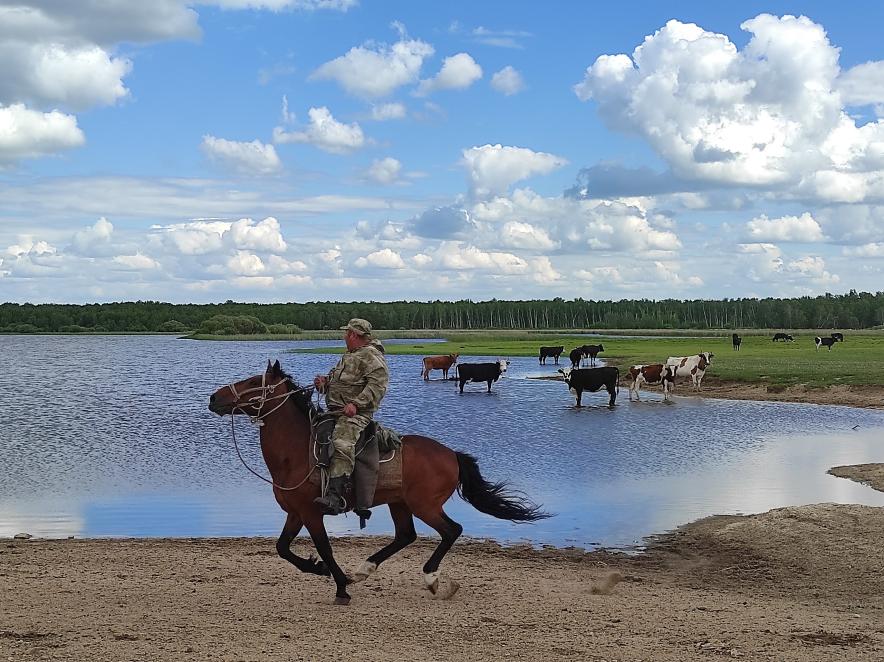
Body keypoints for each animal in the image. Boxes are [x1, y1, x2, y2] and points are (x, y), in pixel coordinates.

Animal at [210, 364, 548, 608]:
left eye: (253, 382)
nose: (214, 397)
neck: (297, 451)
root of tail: (451, 454)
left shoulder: (311, 513)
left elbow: (325, 548)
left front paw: (341, 586)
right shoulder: (295, 512)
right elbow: (282, 548)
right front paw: (320, 570)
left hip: (425, 505)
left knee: (451, 530)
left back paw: (430, 578)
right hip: (399, 504)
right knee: (406, 535)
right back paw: (366, 569)